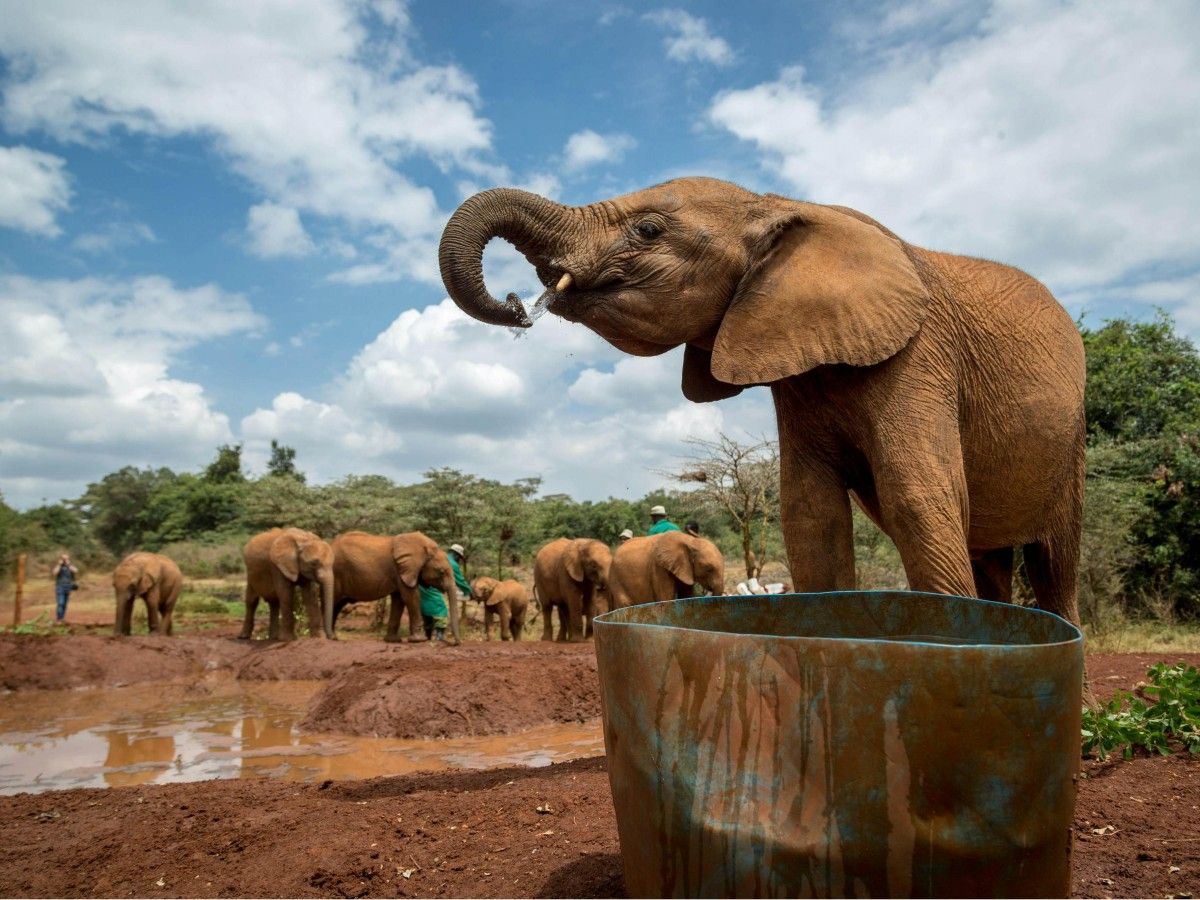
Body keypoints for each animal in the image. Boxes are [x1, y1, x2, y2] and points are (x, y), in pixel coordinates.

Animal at [330, 531, 462, 643]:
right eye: (441, 572)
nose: (457, 643)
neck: (423, 548)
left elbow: (399, 600)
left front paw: (393, 640)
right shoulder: (401, 570)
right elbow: (411, 597)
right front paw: (419, 640)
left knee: (337, 605)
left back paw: (333, 637)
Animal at [439, 178, 1087, 627]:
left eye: (648, 231)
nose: (518, 305)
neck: (772, 203)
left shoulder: (920, 356)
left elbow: (917, 498)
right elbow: (810, 514)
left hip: (1071, 440)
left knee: (1055, 564)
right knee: (992, 558)